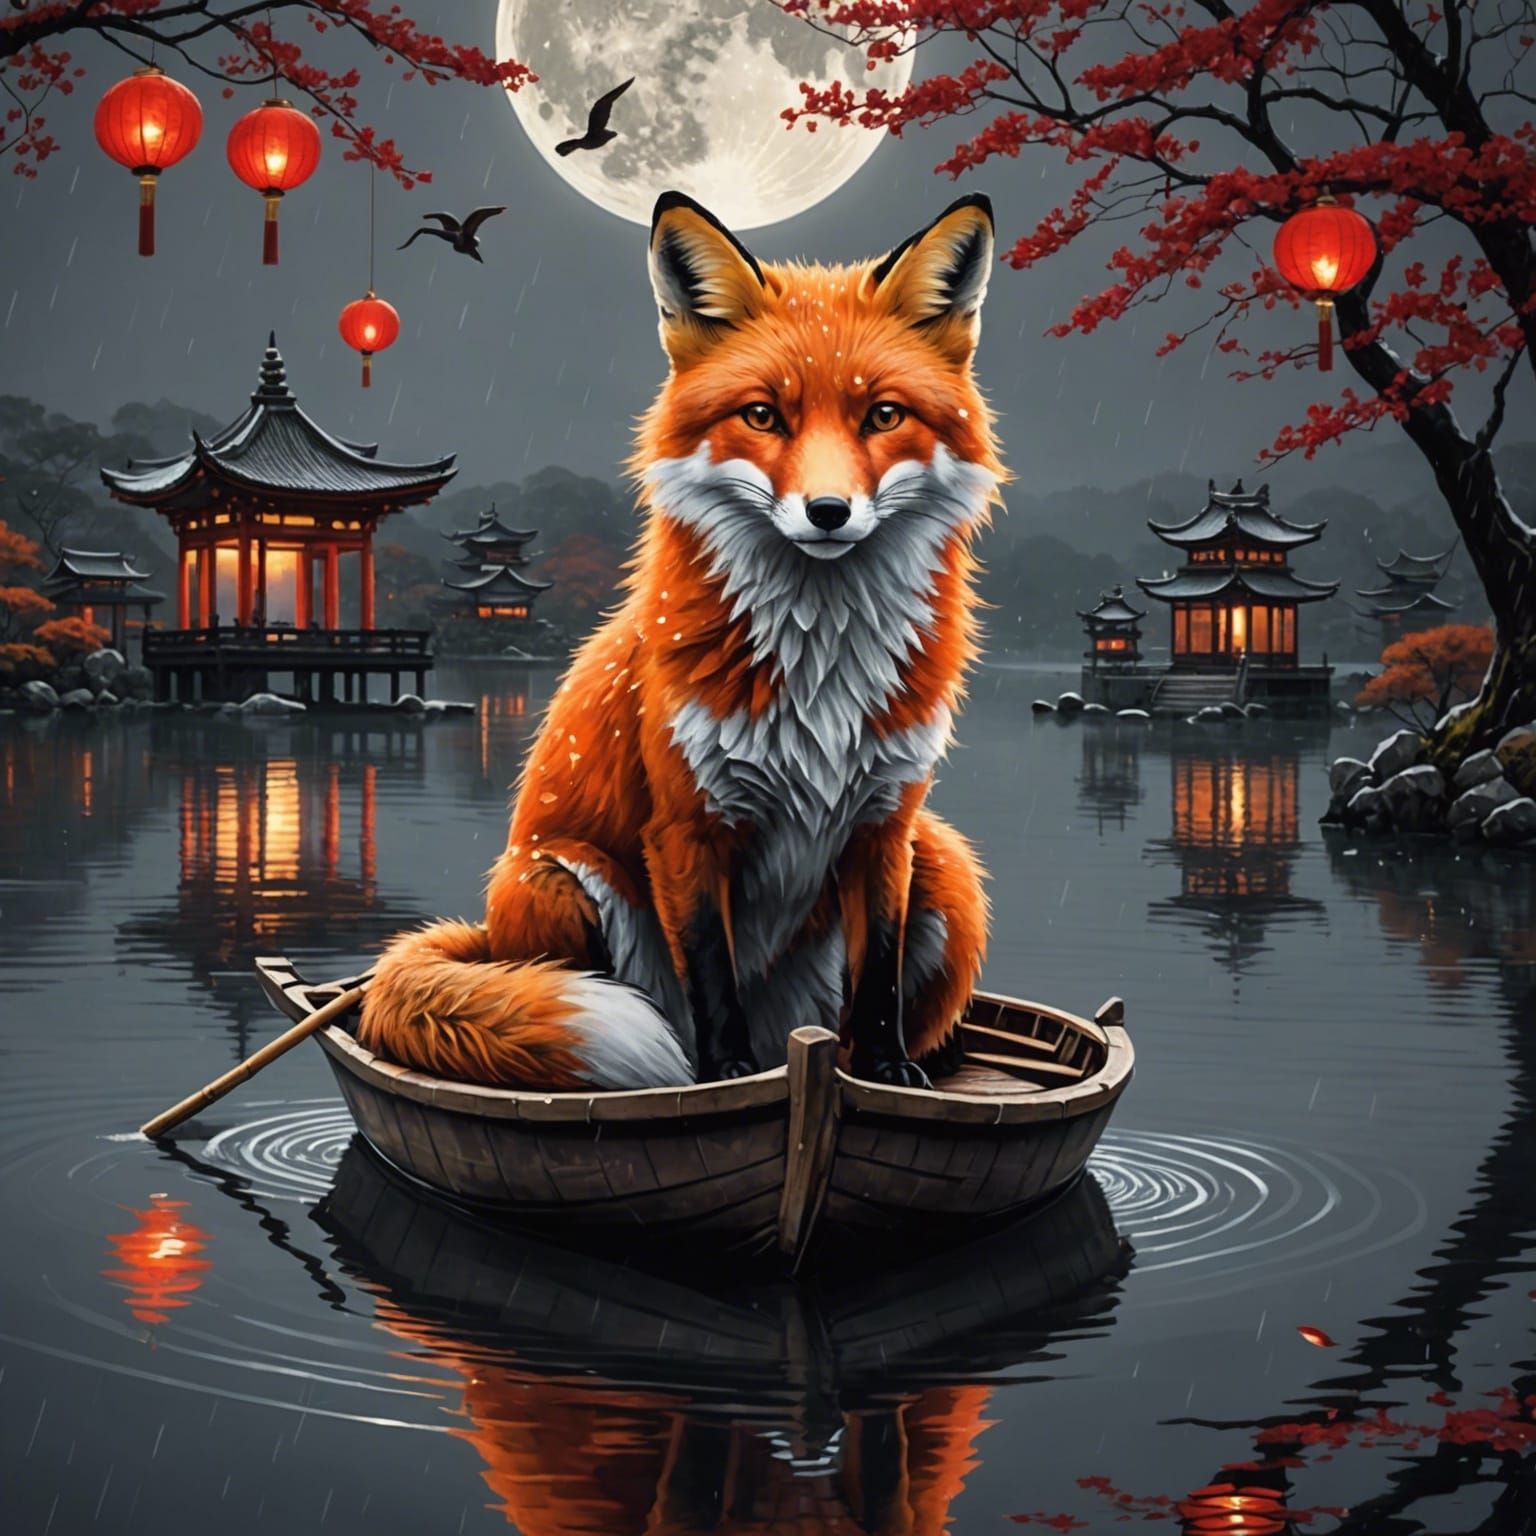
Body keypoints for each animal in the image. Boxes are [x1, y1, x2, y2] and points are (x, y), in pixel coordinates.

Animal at [358, 188, 1004, 1092]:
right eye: (763, 415)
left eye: (883, 416)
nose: (829, 512)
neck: (820, 672)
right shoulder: (687, 825)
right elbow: (710, 969)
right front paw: (726, 1075)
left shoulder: (886, 821)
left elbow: (876, 970)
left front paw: (883, 1068)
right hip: (559, 879)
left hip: (945, 871)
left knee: (856, 1012)